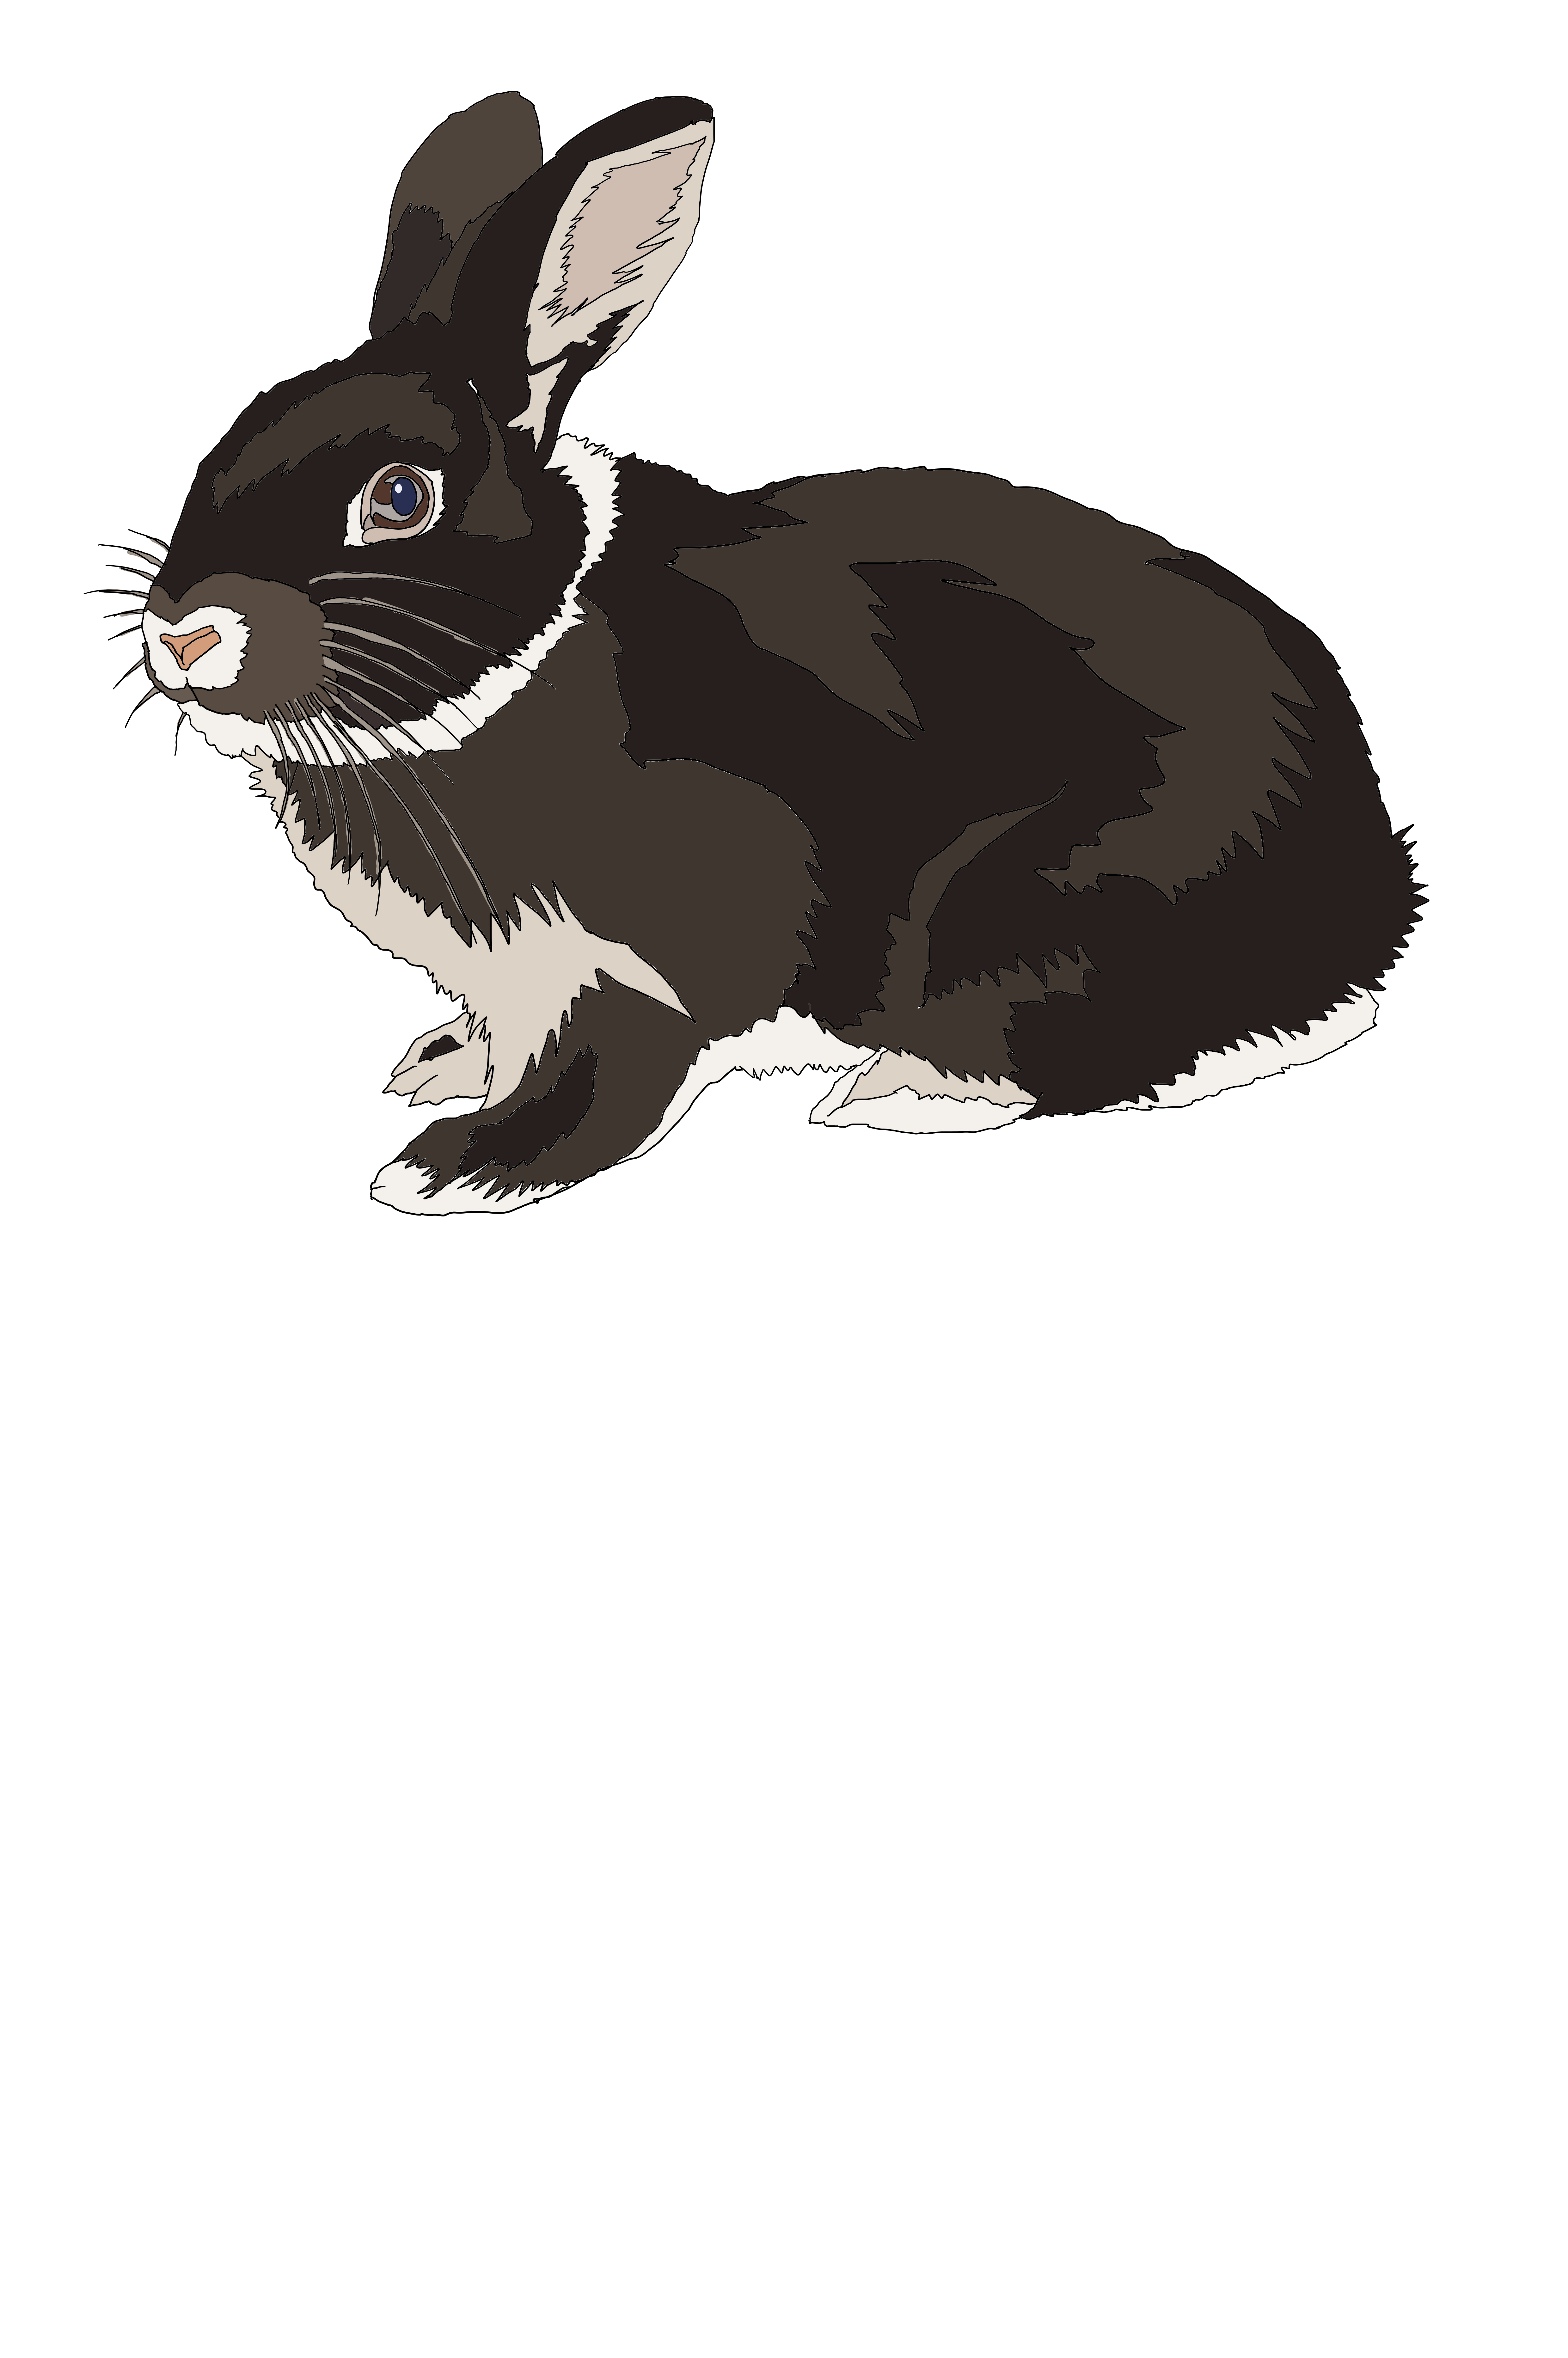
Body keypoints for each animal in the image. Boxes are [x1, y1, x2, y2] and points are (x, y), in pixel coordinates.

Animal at [126, 90, 1418, 1215]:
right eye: (228, 443)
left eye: (398, 499)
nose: (185, 632)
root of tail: (1368, 886)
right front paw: (444, 1061)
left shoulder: (654, 947)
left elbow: (614, 1068)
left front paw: (458, 1168)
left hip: (1028, 913)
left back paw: (895, 1090)